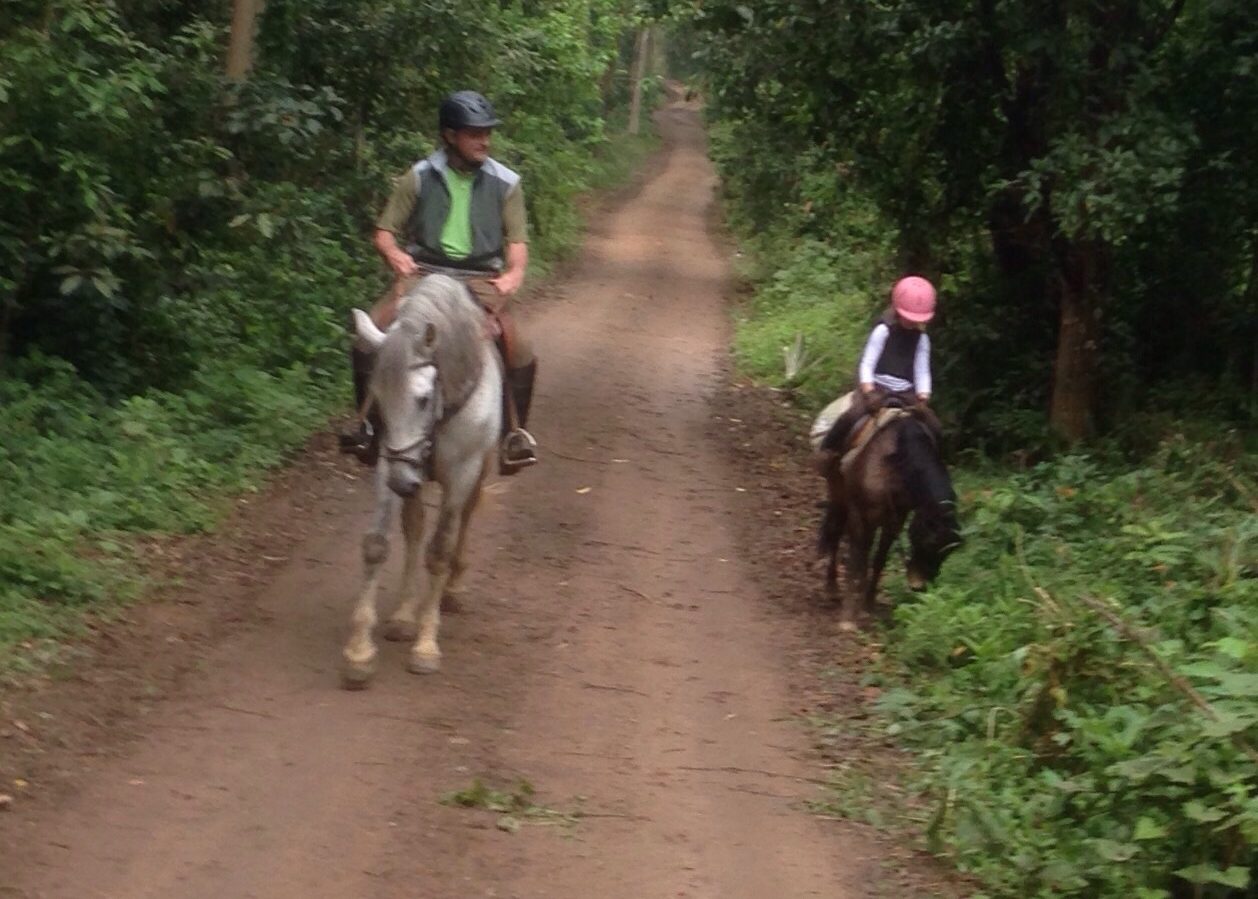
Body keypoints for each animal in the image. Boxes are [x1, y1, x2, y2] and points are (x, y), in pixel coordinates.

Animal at [344, 274, 505, 689]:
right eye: (377, 397)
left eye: (422, 397)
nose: (403, 483)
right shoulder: (390, 463)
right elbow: (377, 545)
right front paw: (359, 652)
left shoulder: (462, 470)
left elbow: (440, 551)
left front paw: (426, 646)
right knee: (414, 527)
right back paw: (403, 614)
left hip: (475, 471)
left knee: (463, 520)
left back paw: (453, 589)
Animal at [815, 412, 961, 628]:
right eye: (929, 541)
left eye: (948, 553)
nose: (920, 586)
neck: (895, 466)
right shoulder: (859, 515)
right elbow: (856, 561)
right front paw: (849, 617)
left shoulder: (895, 520)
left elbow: (879, 560)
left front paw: (868, 606)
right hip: (838, 493)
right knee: (835, 533)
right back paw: (831, 589)